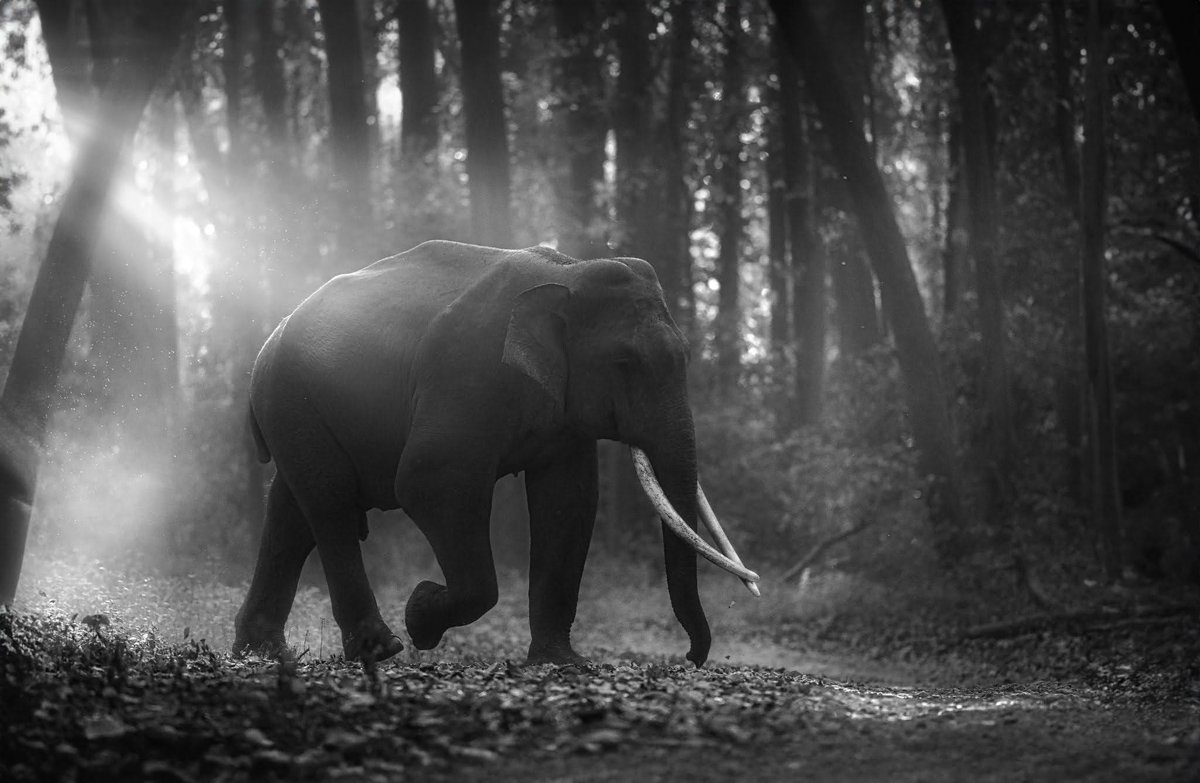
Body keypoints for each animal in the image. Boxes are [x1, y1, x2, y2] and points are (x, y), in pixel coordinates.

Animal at [234, 240, 758, 667]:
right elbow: (429, 481)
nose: (691, 657)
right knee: (330, 504)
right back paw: (380, 649)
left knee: (291, 513)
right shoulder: (466, 372)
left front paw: (562, 662)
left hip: (295, 409)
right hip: (290, 396)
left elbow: (568, 501)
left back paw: (263, 651)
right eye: (625, 363)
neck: (569, 271)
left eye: (685, 357)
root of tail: (272, 335)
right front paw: (420, 614)